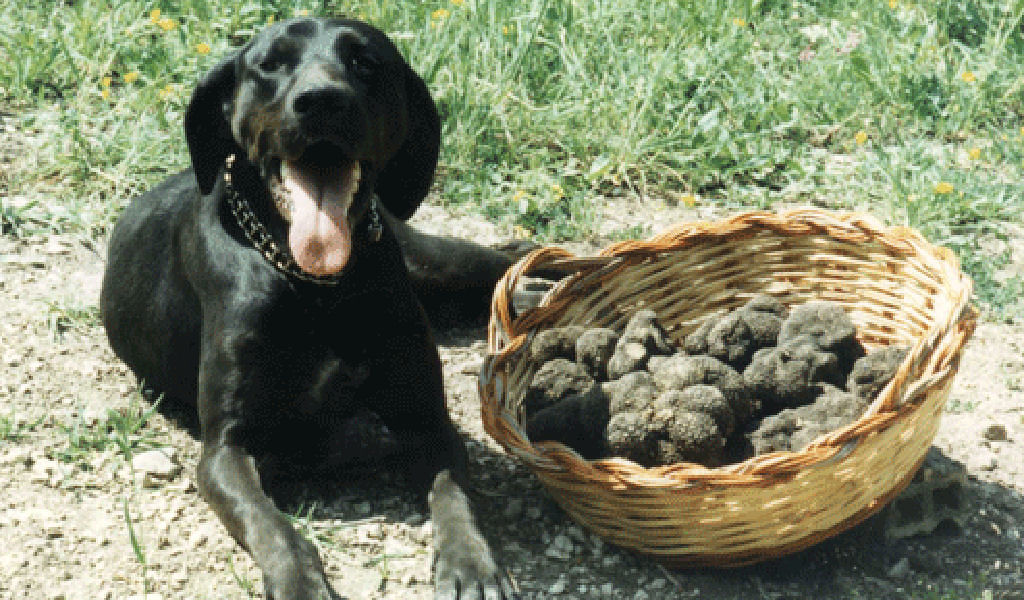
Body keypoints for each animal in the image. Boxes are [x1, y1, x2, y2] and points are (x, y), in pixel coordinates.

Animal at [99, 17, 520, 597]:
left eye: (365, 62)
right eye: (271, 64)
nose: (321, 100)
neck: (318, 285)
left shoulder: (427, 418)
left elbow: (454, 494)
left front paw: (471, 562)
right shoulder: (226, 449)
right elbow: (271, 526)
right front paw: (299, 581)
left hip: (435, 260)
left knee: (507, 265)